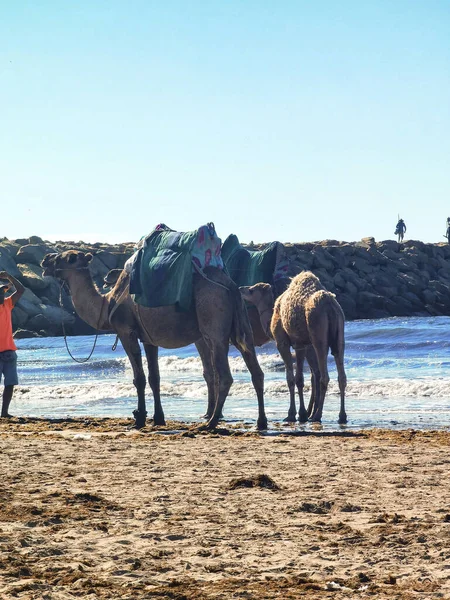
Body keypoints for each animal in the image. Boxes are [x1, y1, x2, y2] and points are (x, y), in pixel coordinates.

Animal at [41, 251, 268, 428]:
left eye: (68, 258)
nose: (45, 260)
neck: (107, 303)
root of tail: (229, 283)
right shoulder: (148, 338)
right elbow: (154, 378)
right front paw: (158, 418)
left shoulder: (126, 331)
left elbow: (139, 378)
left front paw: (140, 418)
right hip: (240, 325)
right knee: (255, 371)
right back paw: (260, 422)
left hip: (213, 320)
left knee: (225, 375)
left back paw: (210, 422)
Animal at [241, 270, 346, 424]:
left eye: (251, 290)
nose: (240, 288)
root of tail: (330, 305)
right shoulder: (300, 344)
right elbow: (300, 379)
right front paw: (302, 414)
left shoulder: (282, 342)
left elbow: (291, 378)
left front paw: (292, 414)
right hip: (339, 335)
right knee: (340, 375)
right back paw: (341, 416)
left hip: (318, 334)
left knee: (323, 376)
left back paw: (317, 415)